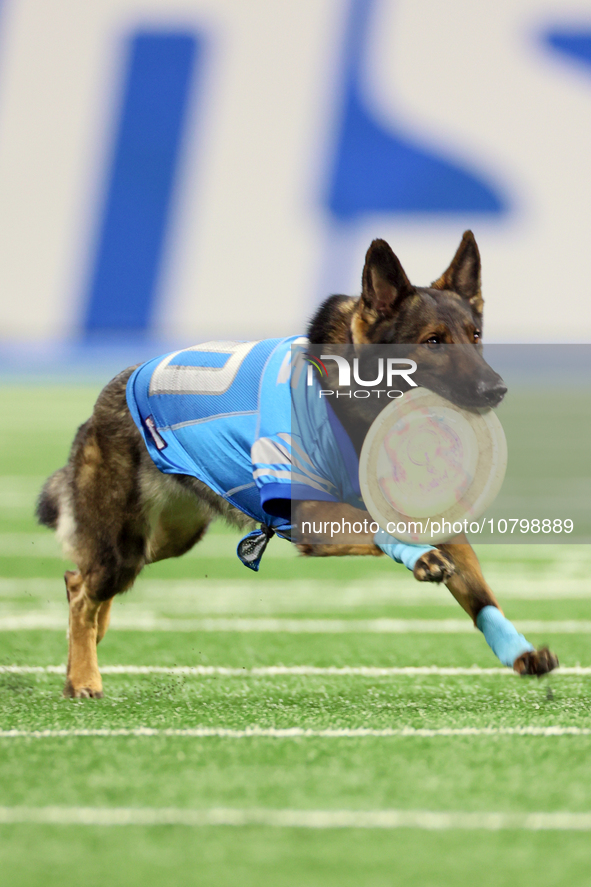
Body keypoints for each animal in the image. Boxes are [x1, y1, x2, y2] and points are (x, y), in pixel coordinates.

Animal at [38, 231, 560, 700]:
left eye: (475, 336)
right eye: (434, 341)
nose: (496, 390)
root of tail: (108, 396)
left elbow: (481, 595)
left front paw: (518, 651)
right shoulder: (313, 514)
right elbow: (377, 526)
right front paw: (423, 557)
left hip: (167, 538)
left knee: (80, 580)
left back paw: (87, 649)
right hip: (125, 543)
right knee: (85, 590)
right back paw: (83, 676)